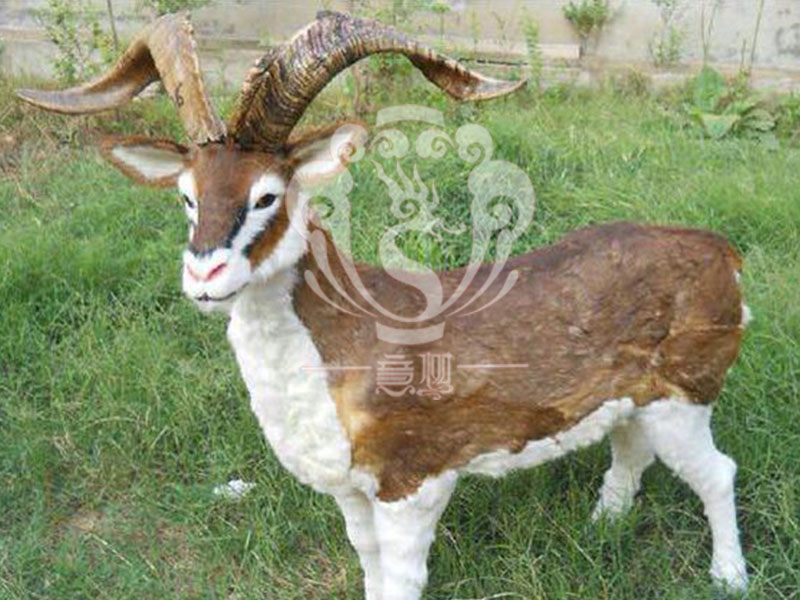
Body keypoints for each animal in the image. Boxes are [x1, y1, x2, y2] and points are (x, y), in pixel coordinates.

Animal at [18, 11, 750, 599]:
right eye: (187, 196)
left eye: (267, 194)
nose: (205, 274)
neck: (345, 339)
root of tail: (722, 252)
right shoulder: (353, 491)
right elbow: (368, 567)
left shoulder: (412, 483)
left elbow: (400, 579)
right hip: (636, 402)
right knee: (630, 449)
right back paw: (605, 523)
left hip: (686, 399)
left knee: (717, 472)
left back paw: (729, 576)